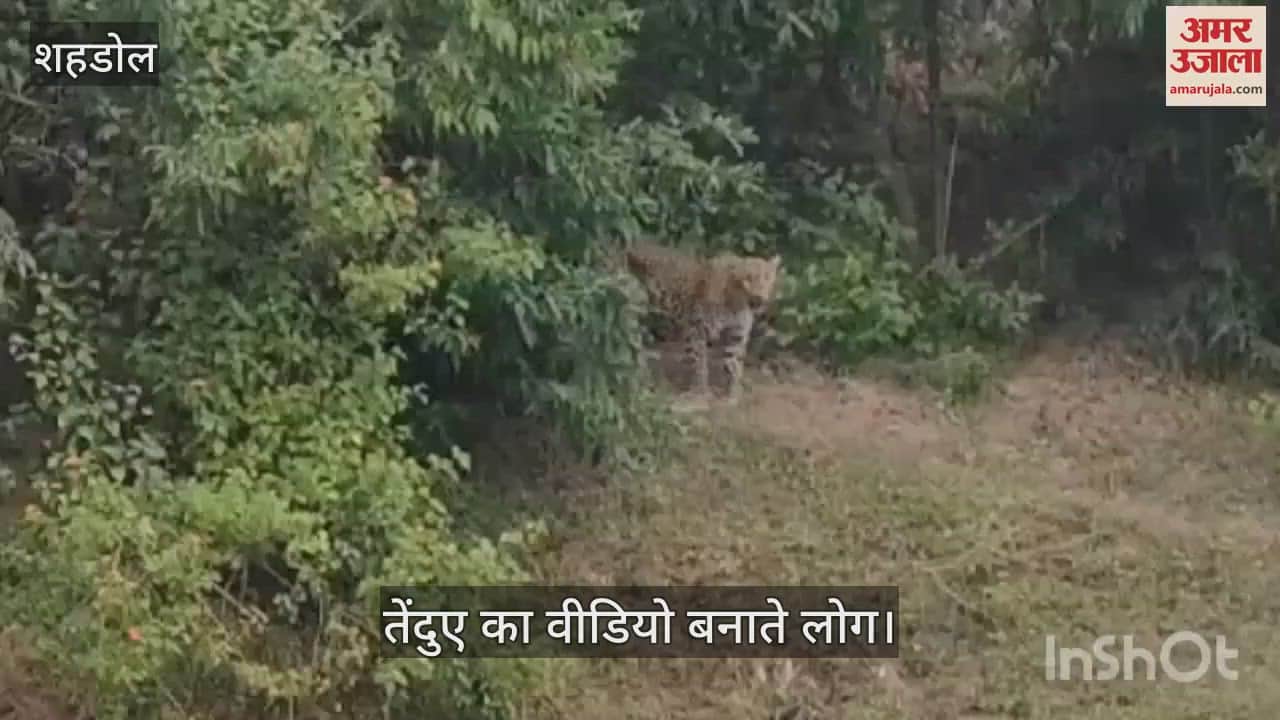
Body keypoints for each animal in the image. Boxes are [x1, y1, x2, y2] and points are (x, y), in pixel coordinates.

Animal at [622, 241, 781, 409]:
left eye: (767, 277)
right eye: (747, 279)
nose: (759, 298)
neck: (738, 303)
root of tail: (626, 247)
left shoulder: (736, 334)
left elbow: (734, 363)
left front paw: (733, 394)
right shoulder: (696, 329)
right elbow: (700, 364)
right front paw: (699, 395)